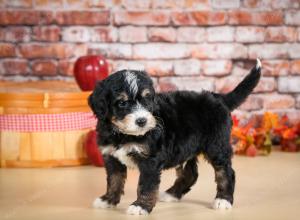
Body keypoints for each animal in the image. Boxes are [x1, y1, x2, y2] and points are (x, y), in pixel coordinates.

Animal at [88, 58, 262, 215]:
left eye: (147, 99)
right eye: (122, 103)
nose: (142, 121)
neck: (123, 134)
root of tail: (218, 97)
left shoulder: (150, 161)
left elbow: (145, 186)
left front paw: (140, 206)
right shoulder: (112, 157)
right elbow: (114, 180)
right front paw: (108, 200)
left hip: (216, 145)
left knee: (225, 172)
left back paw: (223, 200)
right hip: (187, 148)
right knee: (190, 174)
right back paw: (171, 194)